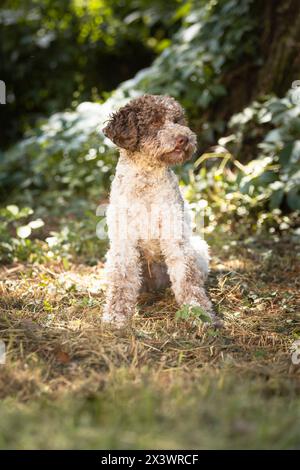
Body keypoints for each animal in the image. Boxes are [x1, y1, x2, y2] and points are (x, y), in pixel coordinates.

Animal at [102, 92, 217, 326]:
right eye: (154, 122)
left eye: (177, 120)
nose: (184, 139)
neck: (146, 180)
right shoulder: (124, 241)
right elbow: (122, 280)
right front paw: (116, 315)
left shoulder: (176, 237)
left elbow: (187, 277)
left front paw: (199, 311)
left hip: (198, 248)